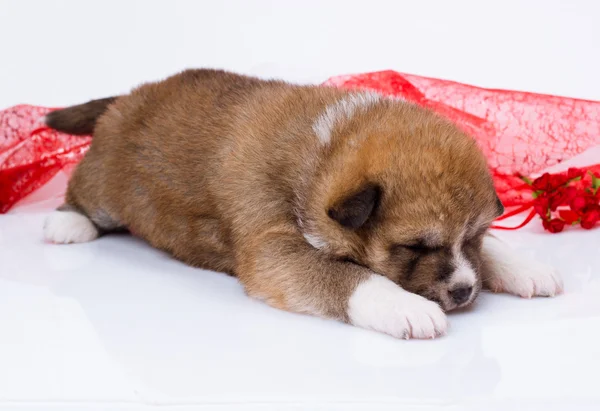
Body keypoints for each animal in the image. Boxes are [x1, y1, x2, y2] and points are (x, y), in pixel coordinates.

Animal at [43, 69, 564, 340]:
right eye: (415, 247)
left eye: (474, 236)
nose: (463, 292)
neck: (321, 154)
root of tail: (132, 95)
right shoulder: (273, 249)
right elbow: (349, 276)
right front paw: (405, 307)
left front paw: (522, 266)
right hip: (105, 185)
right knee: (81, 191)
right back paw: (66, 224)